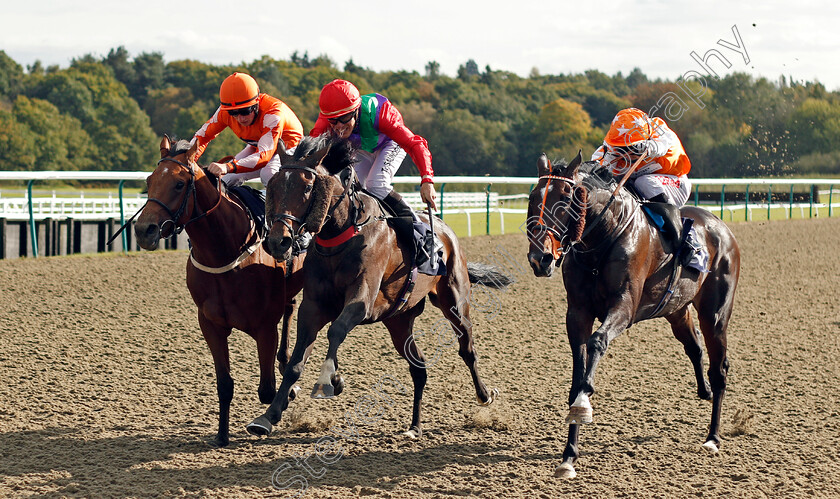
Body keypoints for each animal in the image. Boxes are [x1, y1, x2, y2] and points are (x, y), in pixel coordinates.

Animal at [136, 137, 306, 450]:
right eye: (149, 180)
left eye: (179, 184)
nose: (144, 230)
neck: (224, 252)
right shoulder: (210, 324)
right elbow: (224, 383)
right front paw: (222, 434)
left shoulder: (265, 326)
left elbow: (266, 390)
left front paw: (284, 397)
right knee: (289, 308)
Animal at [243, 136, 506, 438]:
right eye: (273, 185)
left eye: (308, 187)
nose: (278, 241)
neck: (341, 234)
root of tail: (444, 229)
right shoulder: (314, 306)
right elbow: (296, 362)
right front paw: (269, 415)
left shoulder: (362, 300)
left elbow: (336, 330)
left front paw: (330, 380)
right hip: (399, 320)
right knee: (418, 367)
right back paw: (414, 426)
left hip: (454, 301)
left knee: (467, 347)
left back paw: (484, 395)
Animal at [528, 150, 740, 478]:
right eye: (533, 197)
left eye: (564, 198)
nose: (540, 258)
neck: (602, 239)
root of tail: (721, 226)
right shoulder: (577, 312)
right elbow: (579, 368)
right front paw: (568, 456)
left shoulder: (624, 307)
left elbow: (597, 343)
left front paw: (583, 404)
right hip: (676, 309)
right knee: (694, 347)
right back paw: (703, 391)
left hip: (715, 314)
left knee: (719, 369)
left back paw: (713, 437)